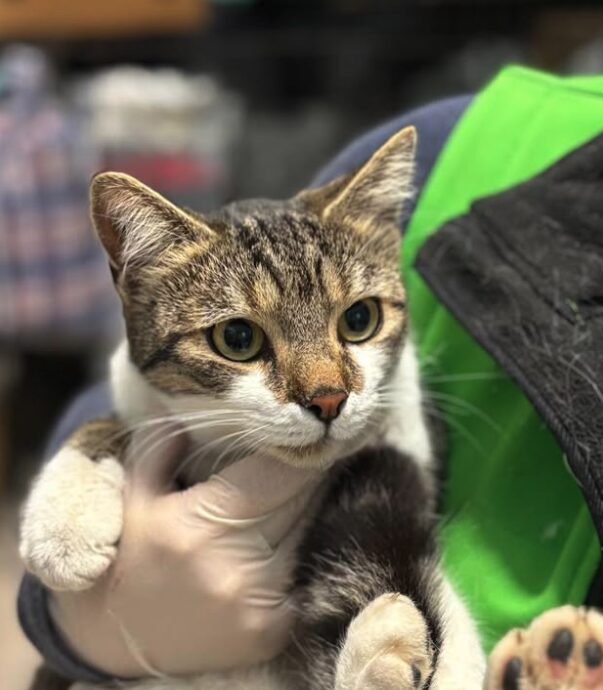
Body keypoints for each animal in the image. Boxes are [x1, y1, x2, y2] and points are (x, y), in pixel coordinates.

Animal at [18, 125, 486, 688]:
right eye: (238, 338)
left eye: (360, 319)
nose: (328, 397)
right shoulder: (135, 391)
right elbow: (112, 422)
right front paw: (63, 521)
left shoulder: (408, 436)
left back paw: (379, 652)